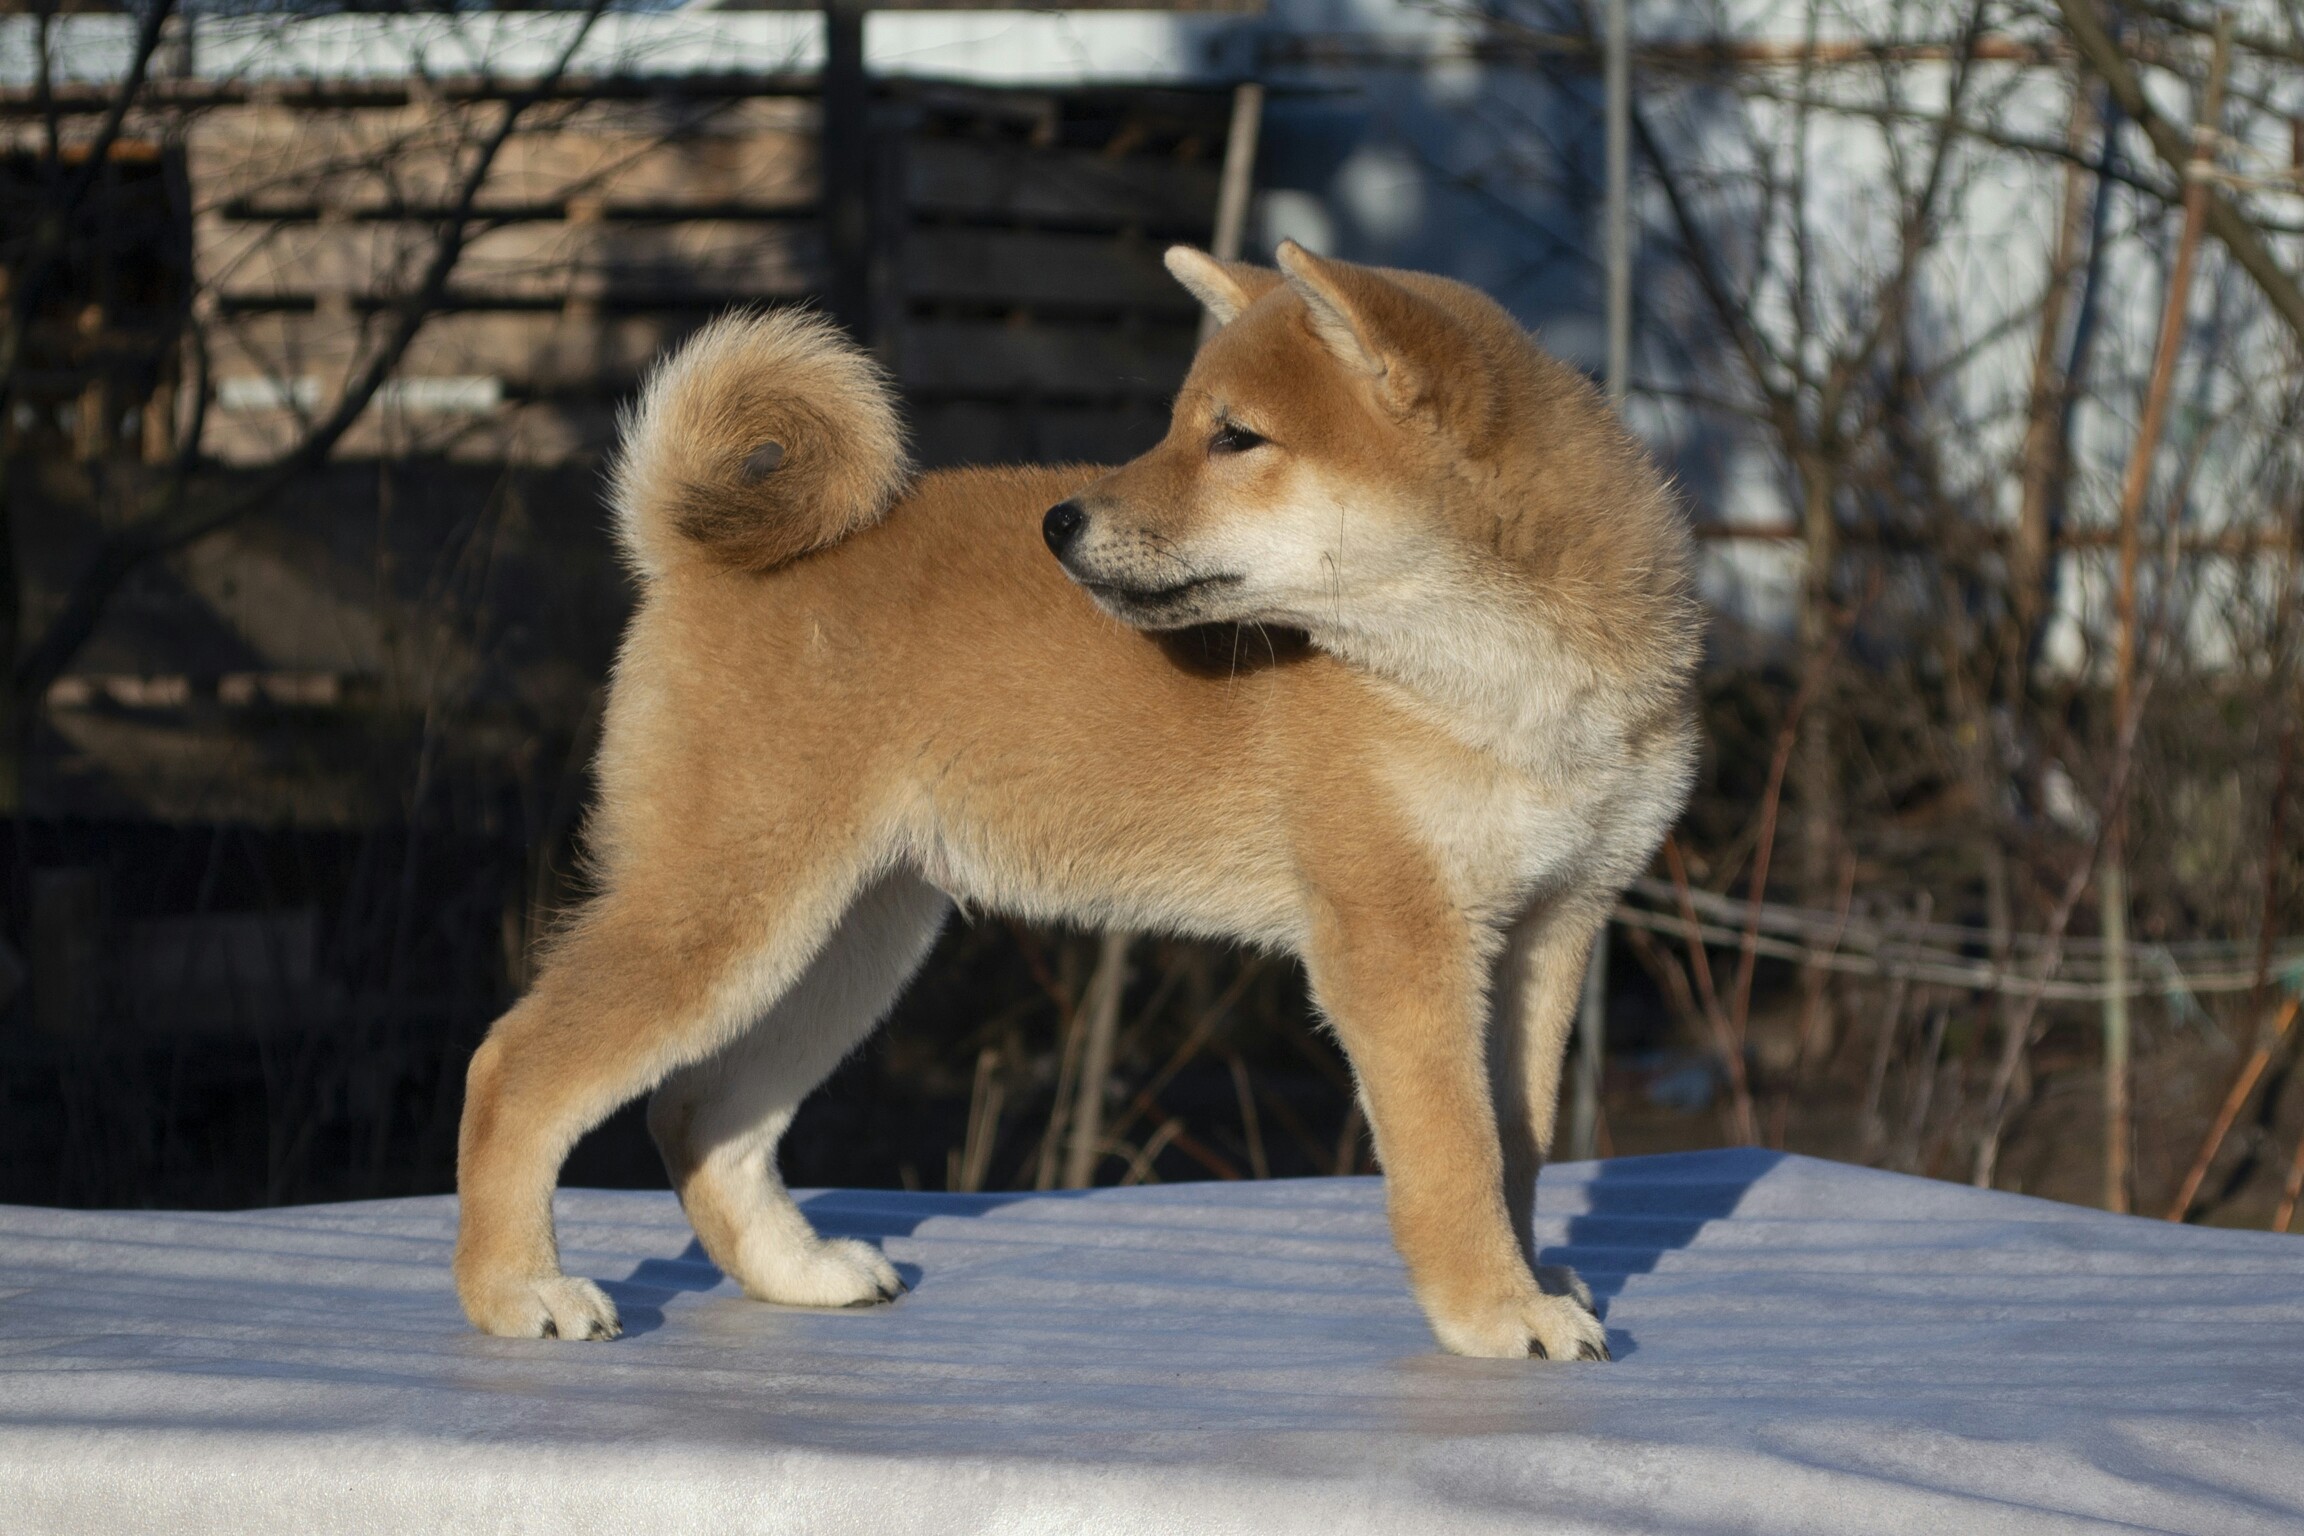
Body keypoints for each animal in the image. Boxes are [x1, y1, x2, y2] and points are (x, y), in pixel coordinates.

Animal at [452, 241, 1701, 1361]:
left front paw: (1529, 1278)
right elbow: (1457, 1151)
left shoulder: (1549, 931)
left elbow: (1520, 1141)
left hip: (846, 942)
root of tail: (693, 558)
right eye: (1182, 423)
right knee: (513, 1067)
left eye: (1234, 436)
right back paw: (519, 1289)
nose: (1059, 522)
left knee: (700, 1117)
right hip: (727, 913)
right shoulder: (1397, 937)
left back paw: (798, 1271)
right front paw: (1494, 1311)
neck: (1495, 682)